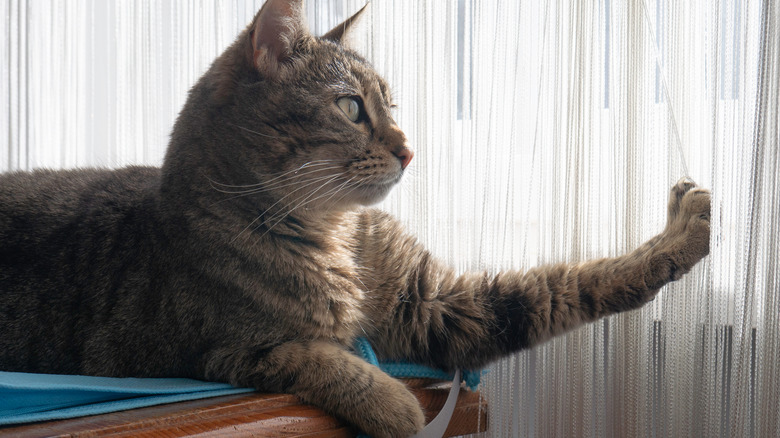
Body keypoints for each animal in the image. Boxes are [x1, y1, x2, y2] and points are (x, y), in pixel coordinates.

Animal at [0, 0, 708, 438]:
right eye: (349, 107)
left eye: (391, 104)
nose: (409, 147)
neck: (336, 236)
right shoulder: (226, 349)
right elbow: (322, 359)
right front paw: (396, 406)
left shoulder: (439, 305)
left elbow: (573, 284)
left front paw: (680, 230)